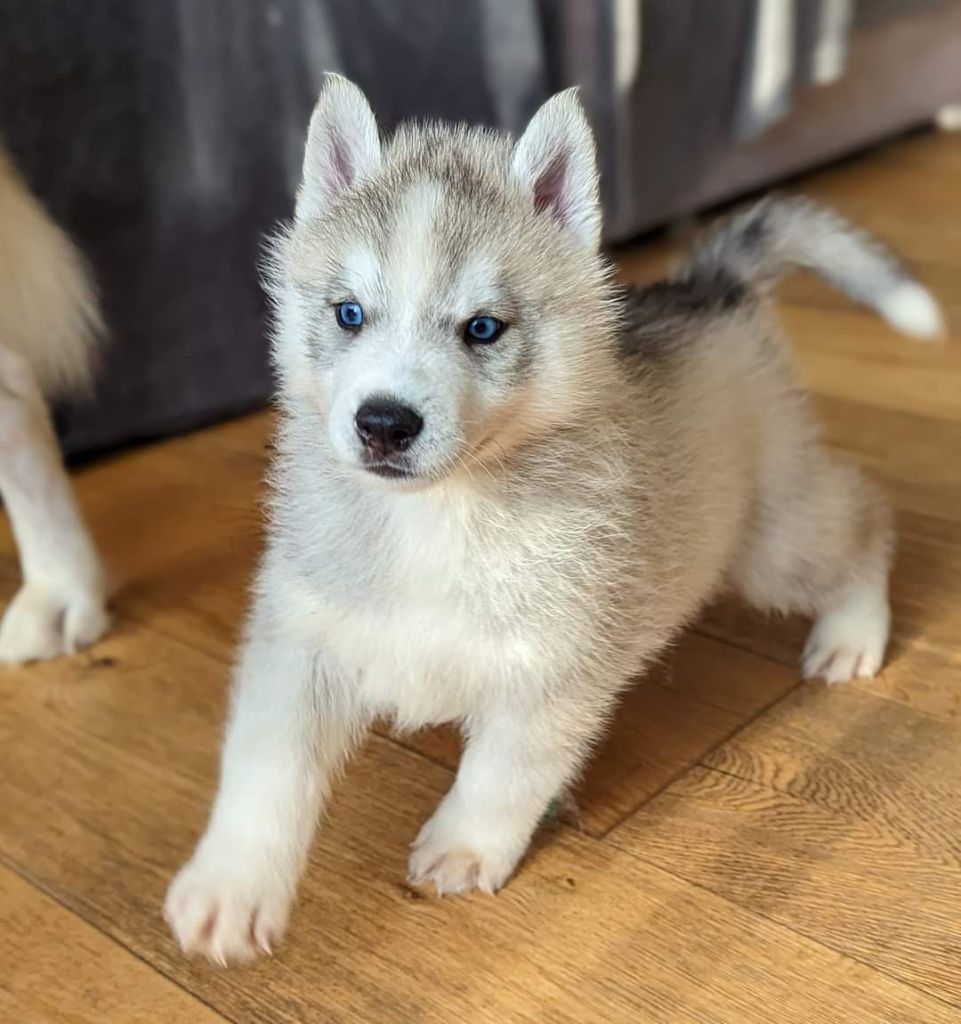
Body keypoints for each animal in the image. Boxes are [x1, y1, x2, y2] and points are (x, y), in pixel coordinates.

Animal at [164, 75, 938, 962]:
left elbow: (501, 774)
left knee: (863, 516)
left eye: (482, 328)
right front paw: (229, 888)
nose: (384, 424)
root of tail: (702, 290)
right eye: (349, 314)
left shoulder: (552, 672)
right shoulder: (301, 641)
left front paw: (464, 846)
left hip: (769, 547)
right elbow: (265, 772)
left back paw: (853, 633)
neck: (435, 518)